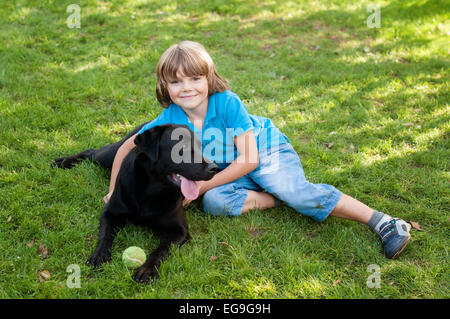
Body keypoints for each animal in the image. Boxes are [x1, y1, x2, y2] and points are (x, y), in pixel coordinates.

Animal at [52, 124, 218, 284]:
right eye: (182, 148)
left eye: (201, 147)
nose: (214, 168)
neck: (152, 190)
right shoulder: (110, 212)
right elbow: (105, 235)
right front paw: (99, 255)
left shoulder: (179, 231)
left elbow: (161, 249)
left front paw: (147, 269)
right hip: (110, 155)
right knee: (91, 151)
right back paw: (63, 161)